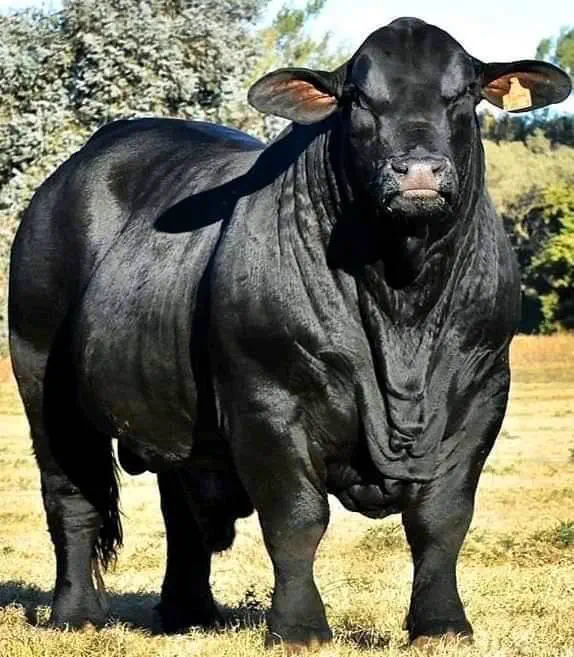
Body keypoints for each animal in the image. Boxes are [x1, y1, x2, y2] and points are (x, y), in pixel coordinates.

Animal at [8, 16, 571, 651]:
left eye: (463, 94)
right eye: (357, 99)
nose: (419, 171)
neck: (401, 300)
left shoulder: (482, 392)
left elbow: (442, 517)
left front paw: (442, 625)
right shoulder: (267, 400)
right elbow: (296, 518)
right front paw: (300, 628)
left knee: (182, 507)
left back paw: (189, 613)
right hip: (43, 381)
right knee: (72, 497)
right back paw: (77, 613)